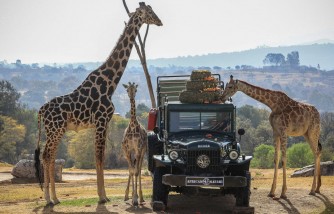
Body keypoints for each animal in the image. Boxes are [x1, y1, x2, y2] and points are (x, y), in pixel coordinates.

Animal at [34, 2, 163, 205]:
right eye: (149, 12)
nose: (160, 21)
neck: (109, 84)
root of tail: (40, 110)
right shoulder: (102, 121)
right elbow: (99, 157)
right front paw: (102, 197)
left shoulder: (105, 122)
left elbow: (100, 156)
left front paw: (103, 195)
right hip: (55, 129)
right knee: (47, 155)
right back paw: (48, 199)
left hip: (56, 130)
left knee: (50, 156)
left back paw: (55, 198)